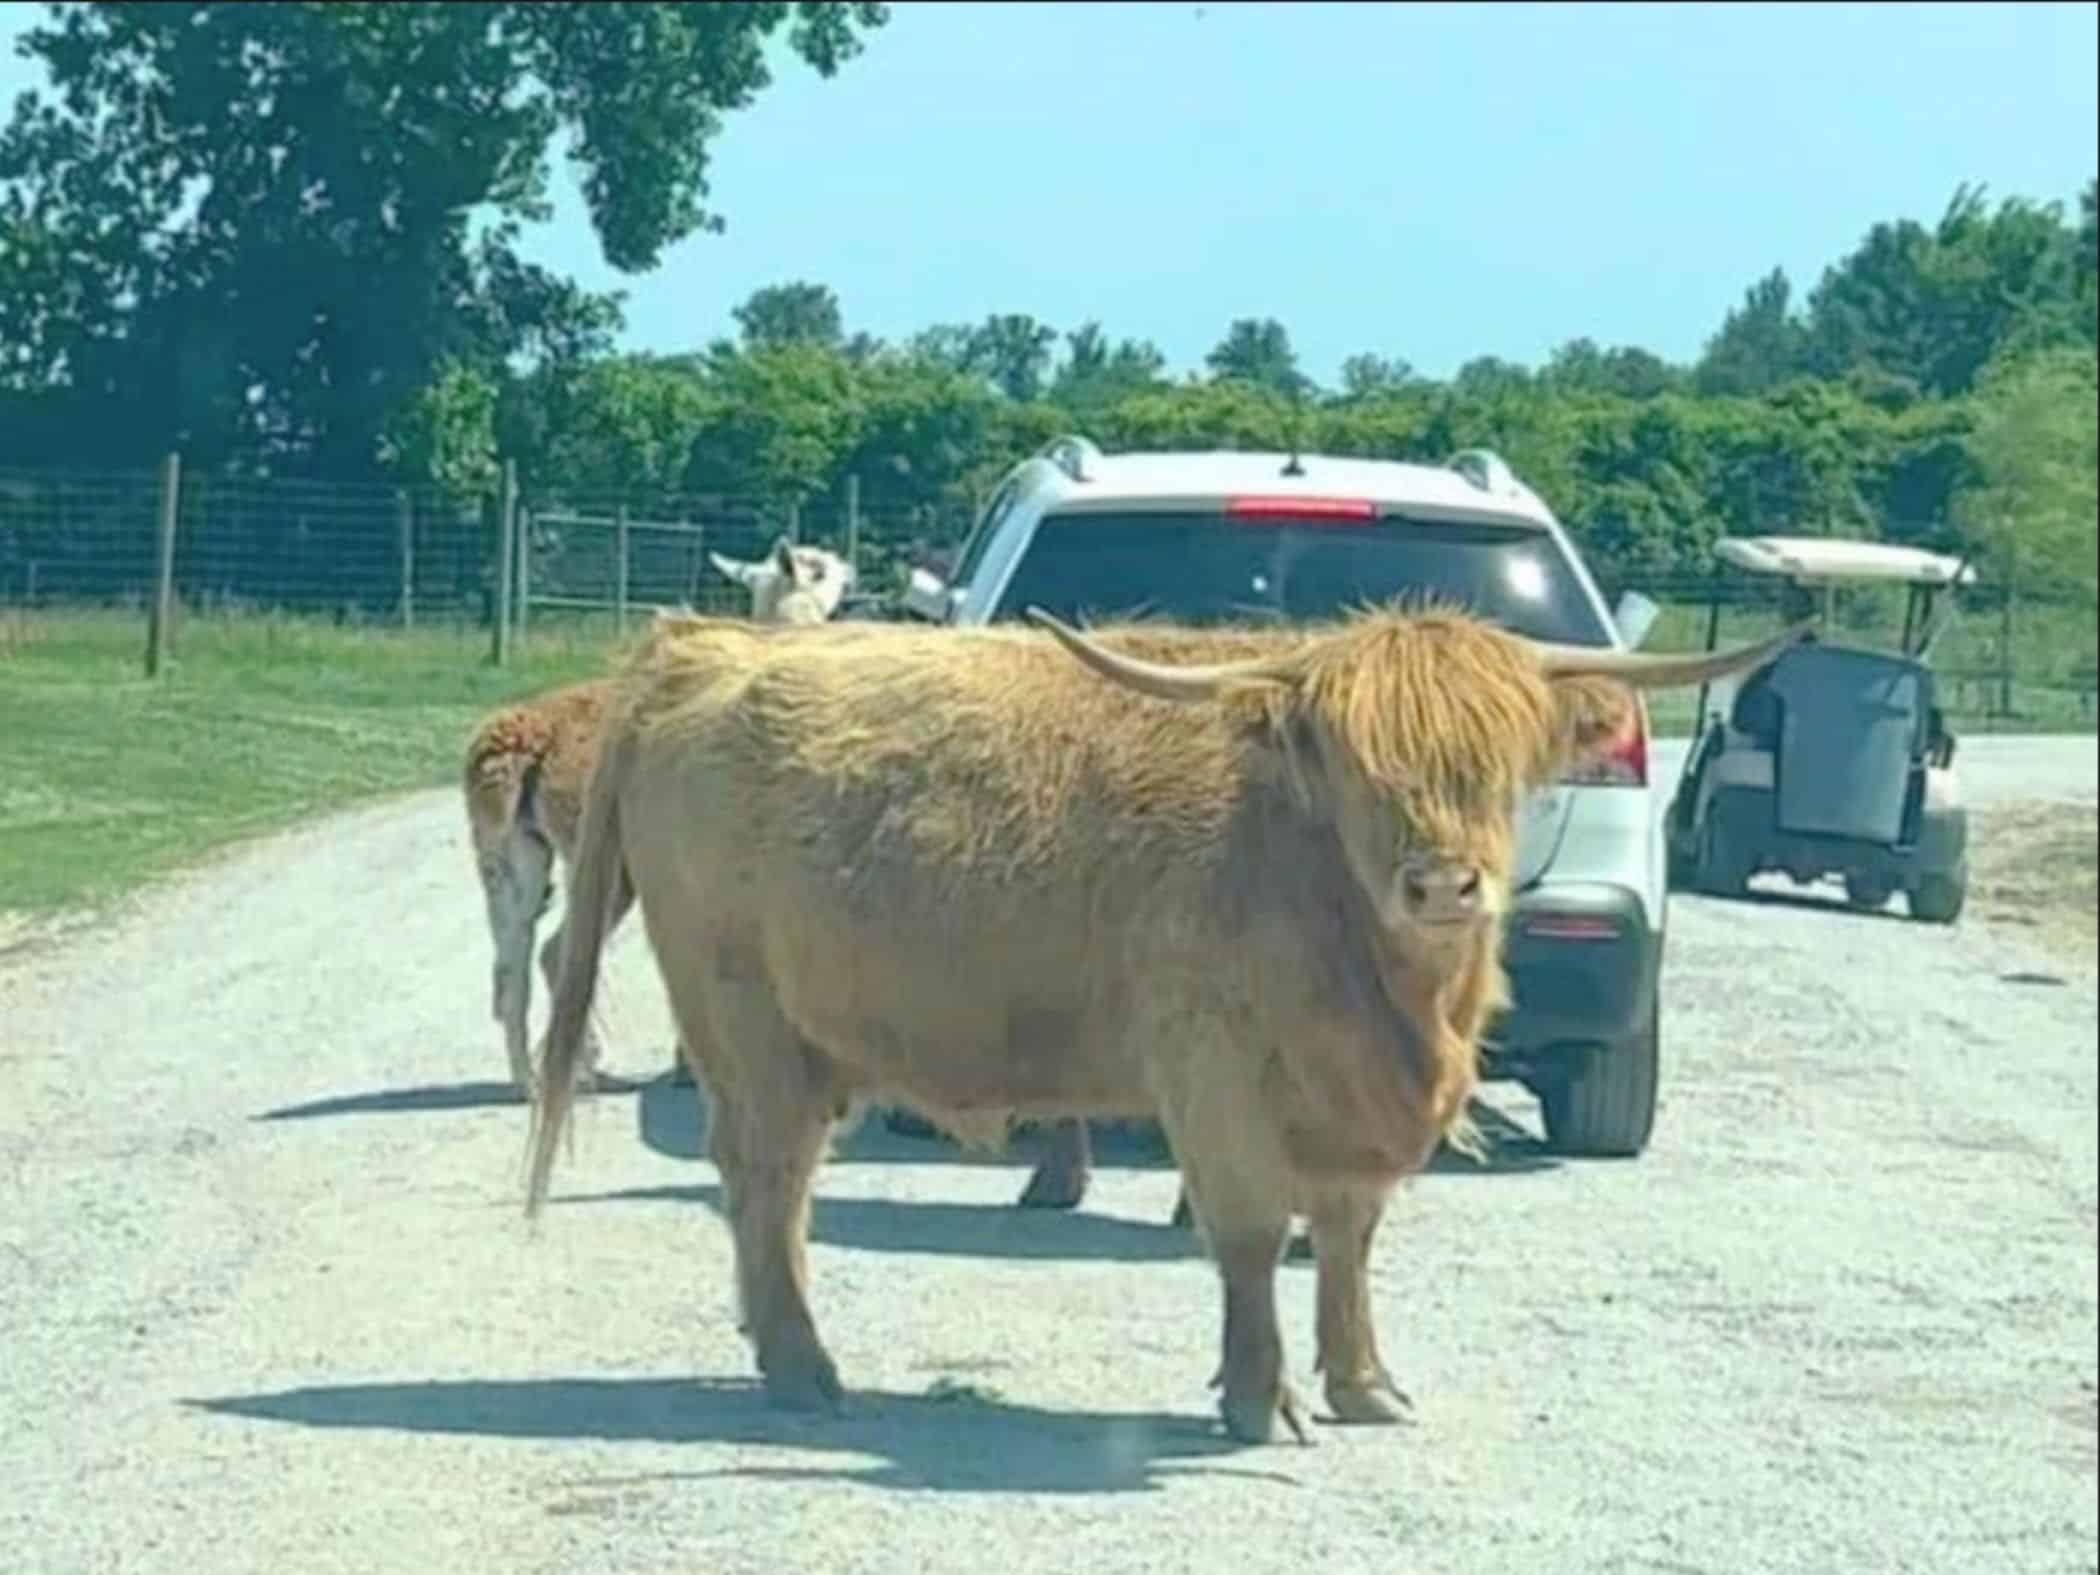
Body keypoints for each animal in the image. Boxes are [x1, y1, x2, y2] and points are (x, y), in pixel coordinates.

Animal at [462, 541, 853, 1094]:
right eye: (817, 566)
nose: (851, 569)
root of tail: (528, 736)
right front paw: (688, 1065)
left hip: (511, 851)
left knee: (511, 960)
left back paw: (529, 1080)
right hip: (602, 855)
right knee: (558, 954)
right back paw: (585, 1068)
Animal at [521, 602, 1804, 1444]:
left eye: (1494, 766)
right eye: (1359, 768)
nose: (1443, 885)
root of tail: (706, 645)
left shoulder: (1349, 1105)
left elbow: (1349, 1236)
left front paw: (1364, 1384)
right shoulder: (1216, 1073)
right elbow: (1250, 1237)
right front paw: (1259, 1399)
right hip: (746, 1023)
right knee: (769, 1180)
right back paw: (804, 1368)